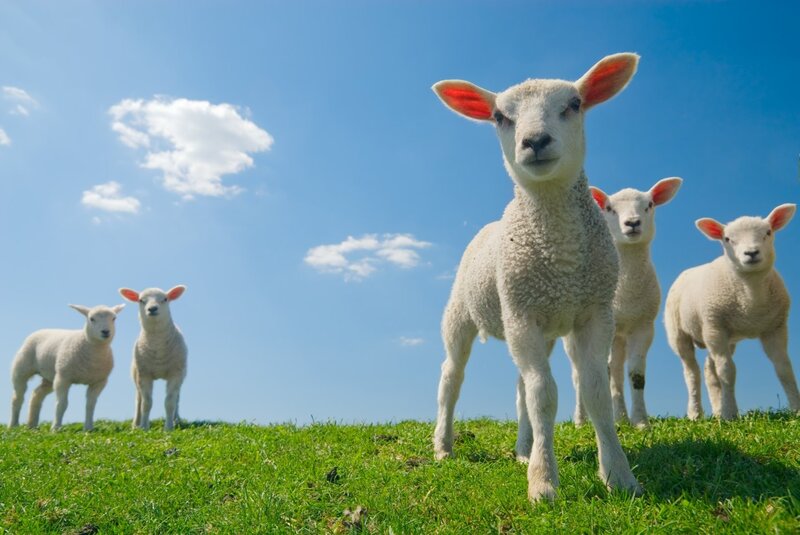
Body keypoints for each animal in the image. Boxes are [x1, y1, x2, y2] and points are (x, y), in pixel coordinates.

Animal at [119, 285, 188, 431]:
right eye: (141, 300)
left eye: (165, 299)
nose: (152, 308)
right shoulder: (144, 374)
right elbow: (146, 402)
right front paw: (144, 427)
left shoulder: (175, 374)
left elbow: (170, 402)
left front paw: (169, 427)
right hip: (136, 374)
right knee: (138, 399)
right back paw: (136, 424)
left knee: (177, 398)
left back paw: (176, 420)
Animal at [431, 53, 642, 502]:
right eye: (499, 116)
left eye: (575, 104)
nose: (536, 141)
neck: (560, 256)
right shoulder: (521, 313)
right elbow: (544, 396)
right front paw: (544, 484)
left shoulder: (594, 311)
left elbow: (593, 392)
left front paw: (619, 475)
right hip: (463, 313)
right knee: (452, 377)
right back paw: (443, 446)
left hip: (538, 325)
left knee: (520, 387)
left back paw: (524, 449)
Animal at [572, 177, 682, 428]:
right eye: (609, 208)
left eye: (649, 205)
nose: (632, 223)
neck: (625, 291)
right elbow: (602, 371)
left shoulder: (644, 327)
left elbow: (635, 374)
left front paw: (640, 422)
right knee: (579, 374)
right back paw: (581, 420)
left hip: (619, 337)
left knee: (616, 370)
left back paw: (621, 416)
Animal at [665, 203, 800, 420]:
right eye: (727, 239)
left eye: (768, 232)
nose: (751, 253)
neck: (750, 299)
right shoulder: (715, 326)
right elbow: (727, 371)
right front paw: (730, 414)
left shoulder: (776, 327)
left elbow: (784, 368)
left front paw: (797, 410)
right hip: (680, 332)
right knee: (692, 372)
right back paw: (696, 413)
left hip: (722, 336)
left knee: (709, 370)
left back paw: (717, 410)